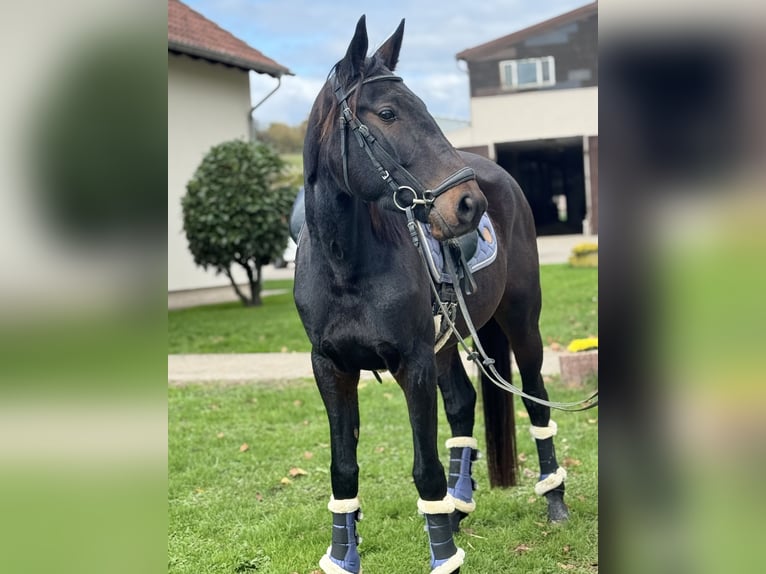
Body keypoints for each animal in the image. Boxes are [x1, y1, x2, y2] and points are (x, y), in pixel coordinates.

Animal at [294, 16, 571, 574]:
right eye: (387, 113)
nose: (468, 205)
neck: (345, 265)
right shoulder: (331, 368)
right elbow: (343, 468)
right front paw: (343, 556)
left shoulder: (414, 363)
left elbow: (424, 471)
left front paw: (444, 557)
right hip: (450, 342)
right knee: (463, 404)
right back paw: (456, 509)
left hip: (521, 325)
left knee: (537, 400)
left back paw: (553, 499)